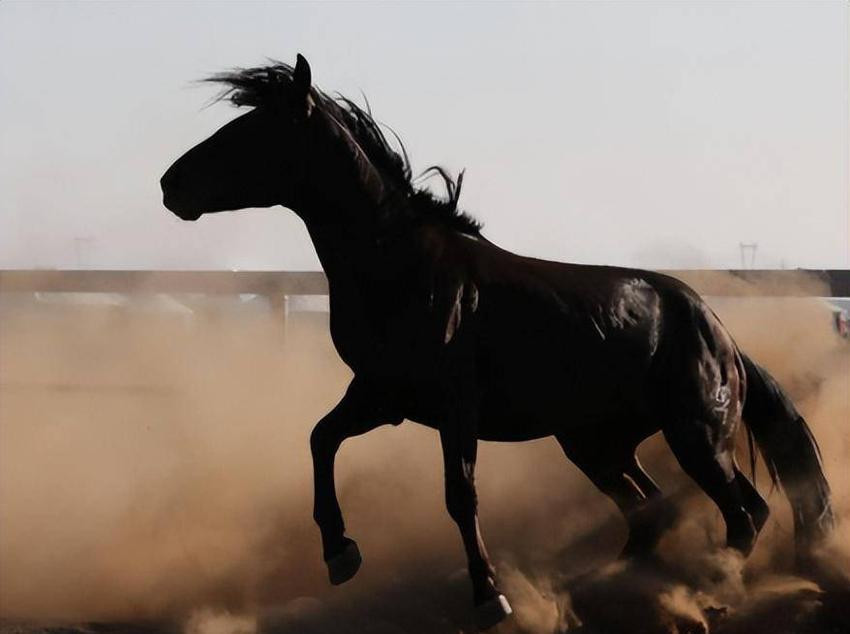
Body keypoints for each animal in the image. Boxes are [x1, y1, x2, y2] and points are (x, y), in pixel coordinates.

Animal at [162, 54, 832, 628]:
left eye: (249, 133)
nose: (171, 185)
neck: (400, 266)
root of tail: (720, 334)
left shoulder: (455, 406)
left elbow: (460, 495)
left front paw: (489, 597)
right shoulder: (382, 396)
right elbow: (320, 439)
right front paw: (340, 553)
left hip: (695, 434)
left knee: (744, 512)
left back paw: (710, 594)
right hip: (596, 443)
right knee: (654, 509)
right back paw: (614, 588)